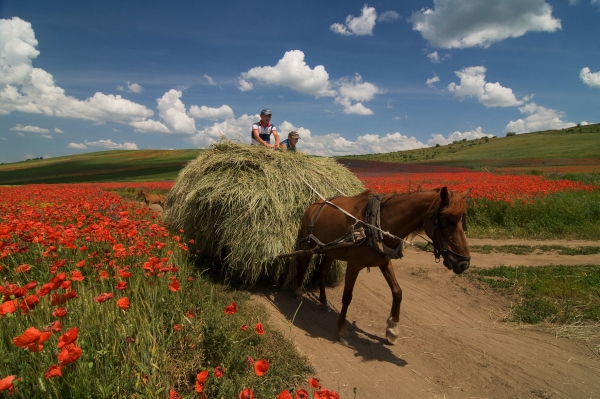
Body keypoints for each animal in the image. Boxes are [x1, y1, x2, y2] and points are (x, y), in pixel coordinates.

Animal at [292, 188, 472, 346]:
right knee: (301, 265)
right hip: (308, 245)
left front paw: (392, 329)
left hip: (330, 250)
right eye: (446, 220)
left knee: (322, 272)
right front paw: (342, 332)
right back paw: (298, 292)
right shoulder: (354, 265)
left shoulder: (385, 262)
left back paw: (323, 302)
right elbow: (347, 297)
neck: (377, 223)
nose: (464, 263)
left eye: (463, 221)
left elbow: (398, 292)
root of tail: (315, 204)